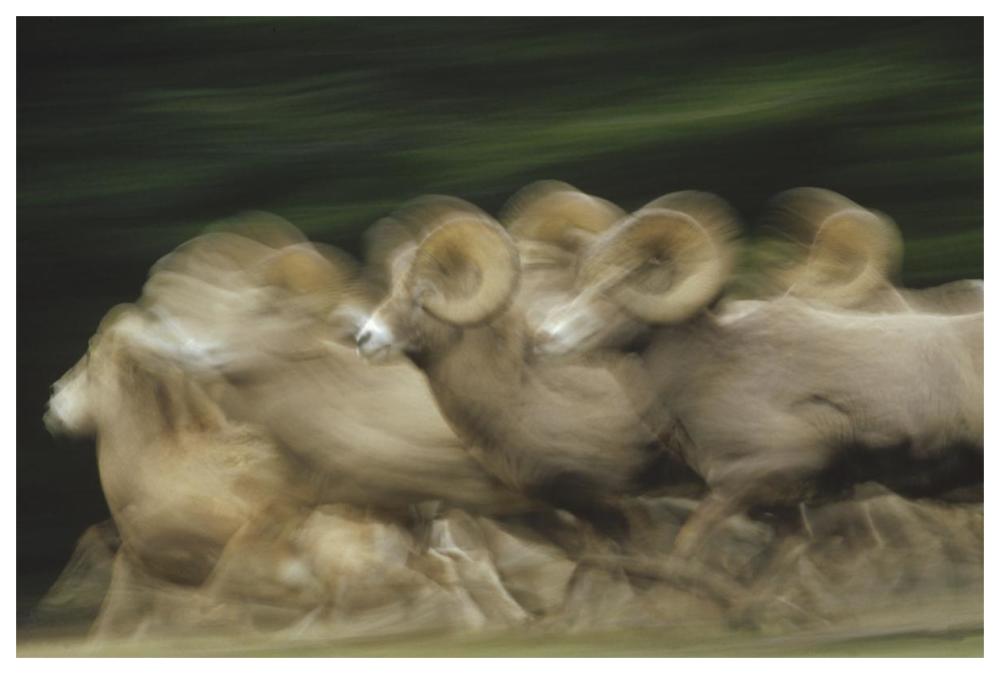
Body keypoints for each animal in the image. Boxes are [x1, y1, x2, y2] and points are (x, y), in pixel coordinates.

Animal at [534, 193, 983, 558]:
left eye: (624, 279)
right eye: (580, 279)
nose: (546, 336)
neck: (713, 368)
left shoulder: (751, 480)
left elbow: (687, 547)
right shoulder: (778, 511)